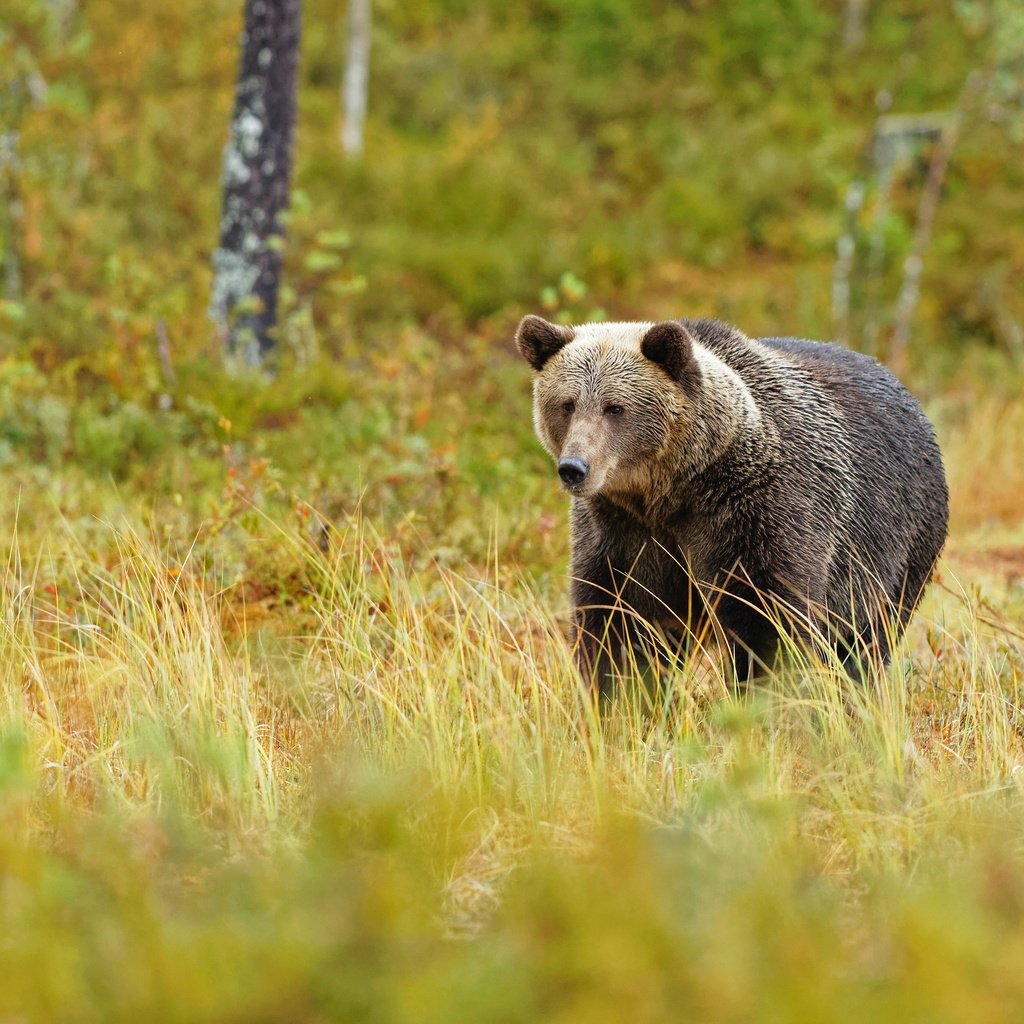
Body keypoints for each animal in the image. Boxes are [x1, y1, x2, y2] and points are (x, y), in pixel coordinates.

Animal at [520, 317, 950, 688]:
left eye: (615, 407)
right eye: (567, 404)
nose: (574, 468)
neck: (674, 491)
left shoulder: (761, 511)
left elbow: (765, 618)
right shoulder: (622, 530)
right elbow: (620, 619)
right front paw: (620, 698)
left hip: (896, 544)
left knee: (866, 639)